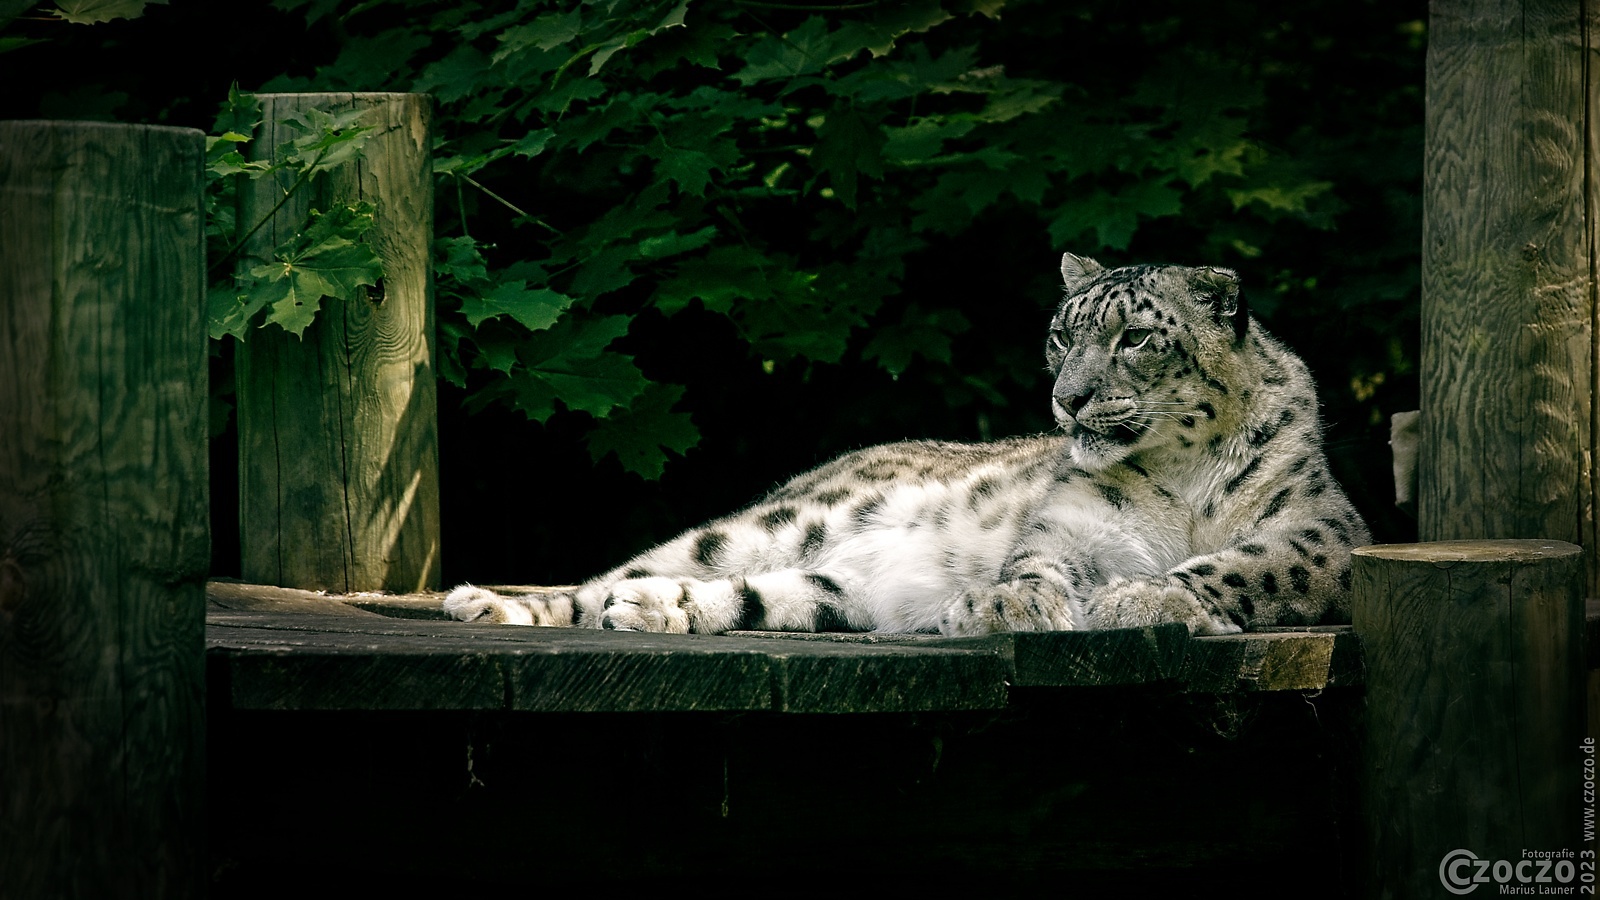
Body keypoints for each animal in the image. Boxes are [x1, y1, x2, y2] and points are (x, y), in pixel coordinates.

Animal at [444, 253, 1370, 637]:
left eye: (1136, 338)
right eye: (1061, 335)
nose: (1068, 399)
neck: (1179, 478)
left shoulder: (1322, 533)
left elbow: (1243, 566)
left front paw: (1142, 599)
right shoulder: (1070, 527)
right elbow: (1037, 565)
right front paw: (1010, 608)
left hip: (839, 586)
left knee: (748, 596)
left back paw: (650, 610)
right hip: (773, 524)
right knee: (605, 578)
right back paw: (491, 603)